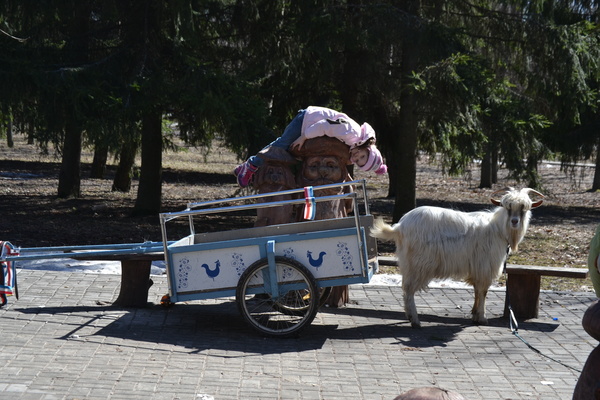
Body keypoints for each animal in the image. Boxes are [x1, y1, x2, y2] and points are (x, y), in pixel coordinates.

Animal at [370, 188, 544, 328]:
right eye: (508, 207)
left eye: (524, 208)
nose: (515, 221)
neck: (498, 228)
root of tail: (399, 227)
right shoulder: (485, 267)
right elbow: (483, 291)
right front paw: (482, 317)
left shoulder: (477, 268)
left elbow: (476, 290)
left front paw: (474, 314)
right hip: (418, 263)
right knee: (408, 290)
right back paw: (415, 320)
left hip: (409, 263)